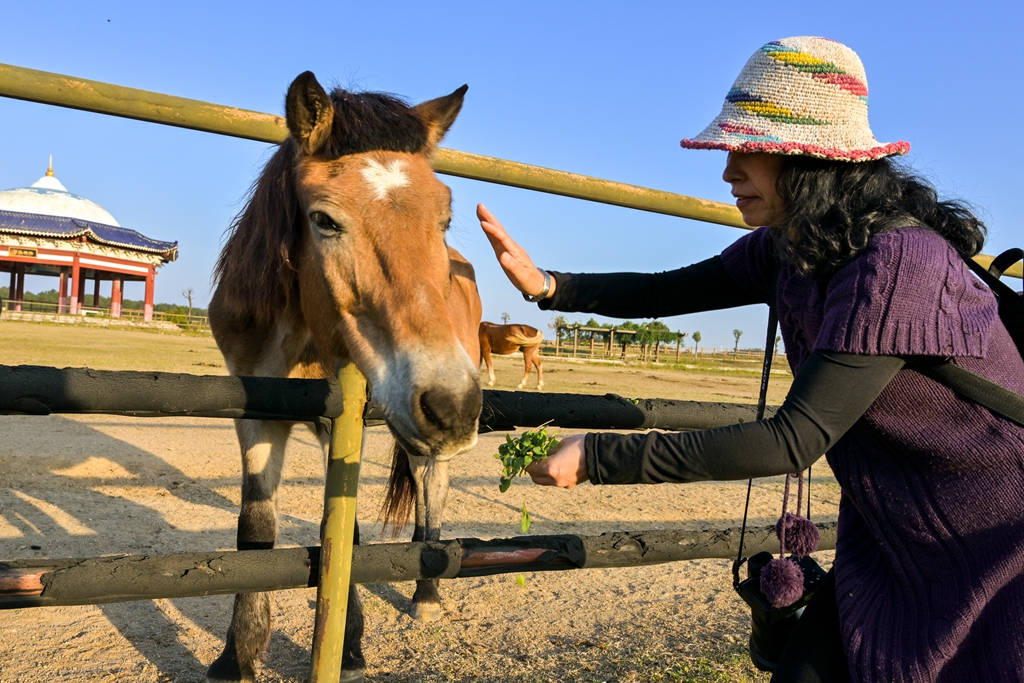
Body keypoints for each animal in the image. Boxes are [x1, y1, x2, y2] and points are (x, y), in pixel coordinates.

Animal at [207, 70, 483, 683]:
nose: (453, 405)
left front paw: (349, 644)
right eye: (325, 220)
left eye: (445, 218)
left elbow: (345, 527)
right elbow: (255, 526)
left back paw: (427, 594)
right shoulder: (256, 415)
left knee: (433, 490)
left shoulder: (343, 420)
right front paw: (237, 655)